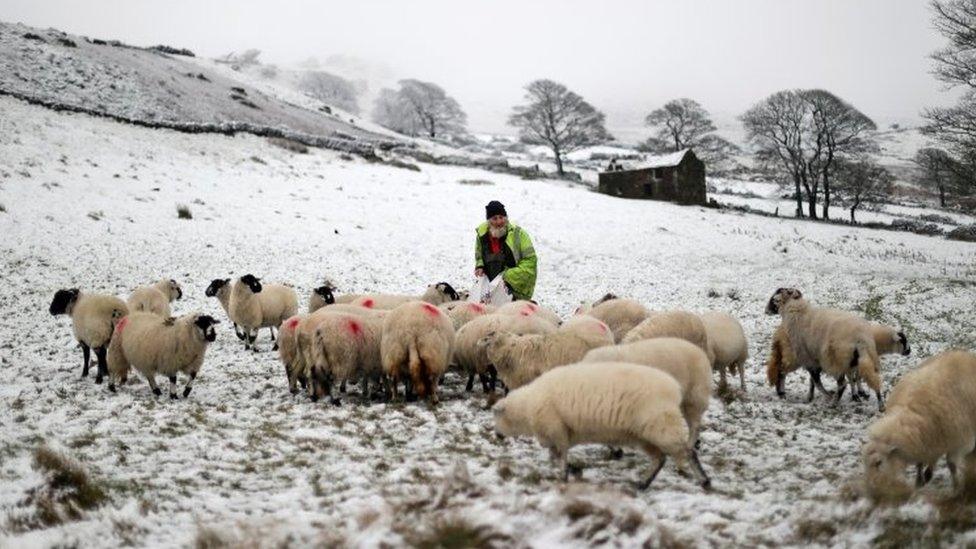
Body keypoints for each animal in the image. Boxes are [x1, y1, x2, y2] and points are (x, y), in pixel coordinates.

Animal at [496, 360, 708, 488]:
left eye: (496, 417)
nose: (497, 435)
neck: (527, 406)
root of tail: (674, 388)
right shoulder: (558, 434)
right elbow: (555, 455)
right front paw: (573, 469)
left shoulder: (557, 430)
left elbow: (560, 456)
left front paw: (565, 474)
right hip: (644, 434)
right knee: (660, 459)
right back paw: (642, 483)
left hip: (662, 426)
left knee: (687, 452)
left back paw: (704, 480)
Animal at [860, 348, 976, 498]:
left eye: (878, 462)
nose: (870, 488)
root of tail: (962, 353)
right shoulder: (926, 442)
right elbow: (920, 463)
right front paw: (919, 481)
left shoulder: (960, 443)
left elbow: (951, 464)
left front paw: (956, 489)